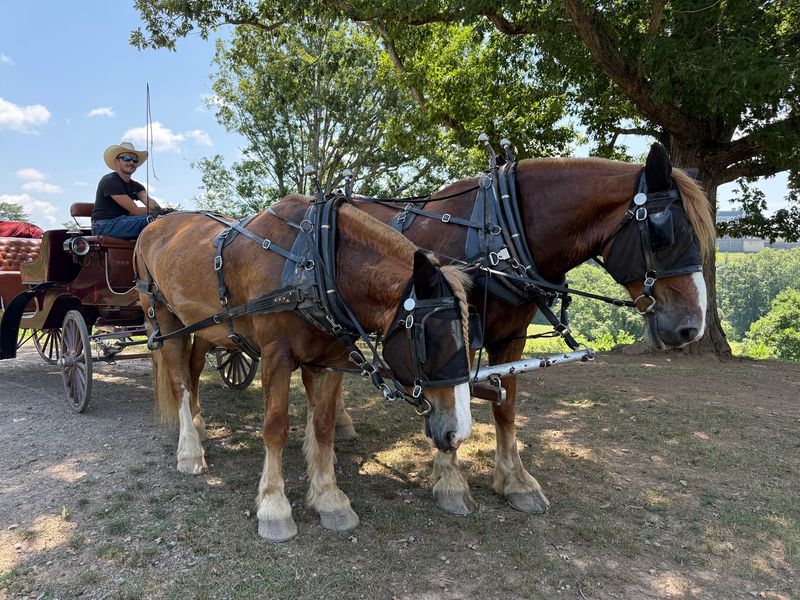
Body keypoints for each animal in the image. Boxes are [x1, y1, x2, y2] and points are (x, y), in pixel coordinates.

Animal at [134, 195, 474, 541]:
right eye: (430, 338)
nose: (458, 433)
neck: (315, 262)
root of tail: (156, 223)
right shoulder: (276, 356)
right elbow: (275, 428)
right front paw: (274, 507)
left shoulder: (329, 361)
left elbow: (323, 427)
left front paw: (329, 499)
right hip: (163, 319)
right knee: (180, 383)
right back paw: (190, 450)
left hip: (206, 328)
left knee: (194, 369)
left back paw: (198, 426)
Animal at [336, 143, 716, 515]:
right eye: (664, 233)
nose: (691, 328)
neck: (497, 233)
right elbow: (453, 395)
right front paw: (451, 482)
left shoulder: (512, 337)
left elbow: (505, 408)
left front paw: (516, 482)